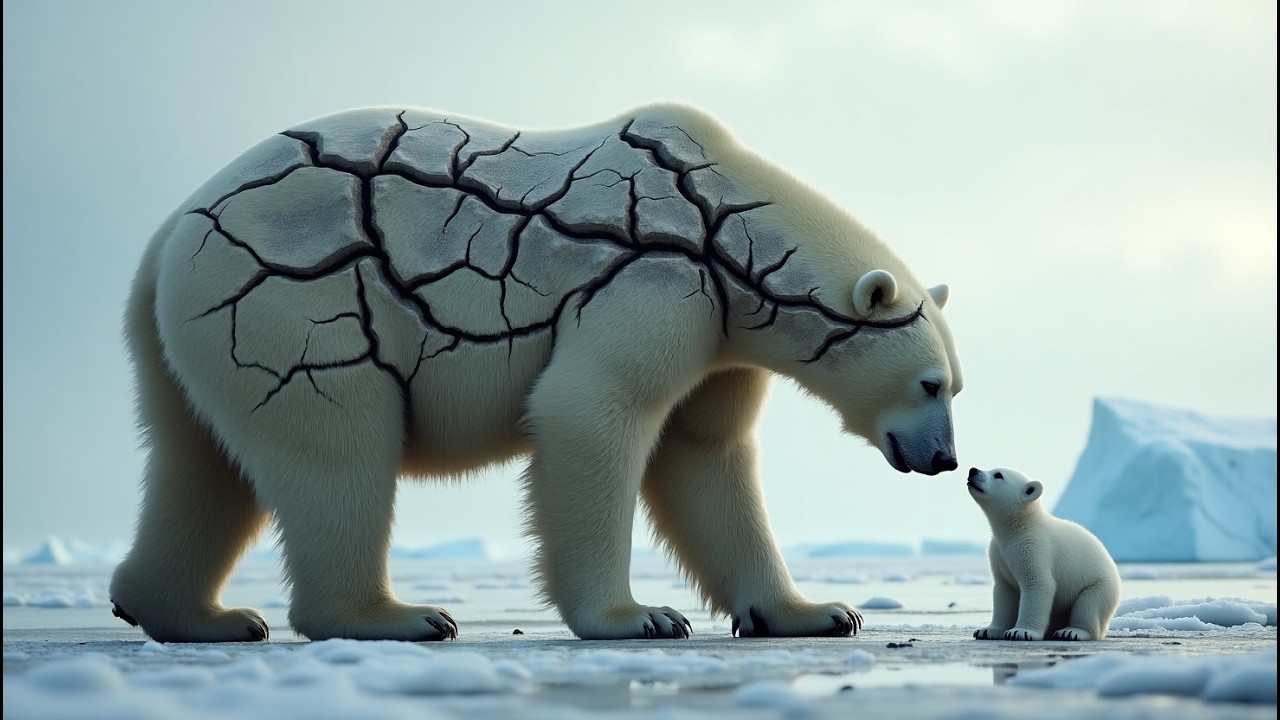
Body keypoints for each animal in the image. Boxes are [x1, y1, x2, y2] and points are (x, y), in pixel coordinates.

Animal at [108, 103, 963, 643]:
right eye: (929, 384)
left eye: (956, 385)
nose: (946, 459)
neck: (725, 229)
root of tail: (169, 233)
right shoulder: (654, 282)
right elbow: (592, 413)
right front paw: (640, 618)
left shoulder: (720, 332)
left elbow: (706, 457)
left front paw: (818, 611)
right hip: (294, 304)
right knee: (338, 445)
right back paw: (396, 617)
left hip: (193, 333)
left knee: (197, 461)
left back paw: (198, 616)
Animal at [966, 466, 1121, 641]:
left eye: (998, 475)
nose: (973, 470)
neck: (1019, 526)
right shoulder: (998, 552)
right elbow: (1004, 590)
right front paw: (987, 630)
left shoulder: (1033, 546)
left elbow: (1038, 583)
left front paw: (1020, 632)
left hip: (1100, 586)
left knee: (1088, 606)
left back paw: (1071, 631)